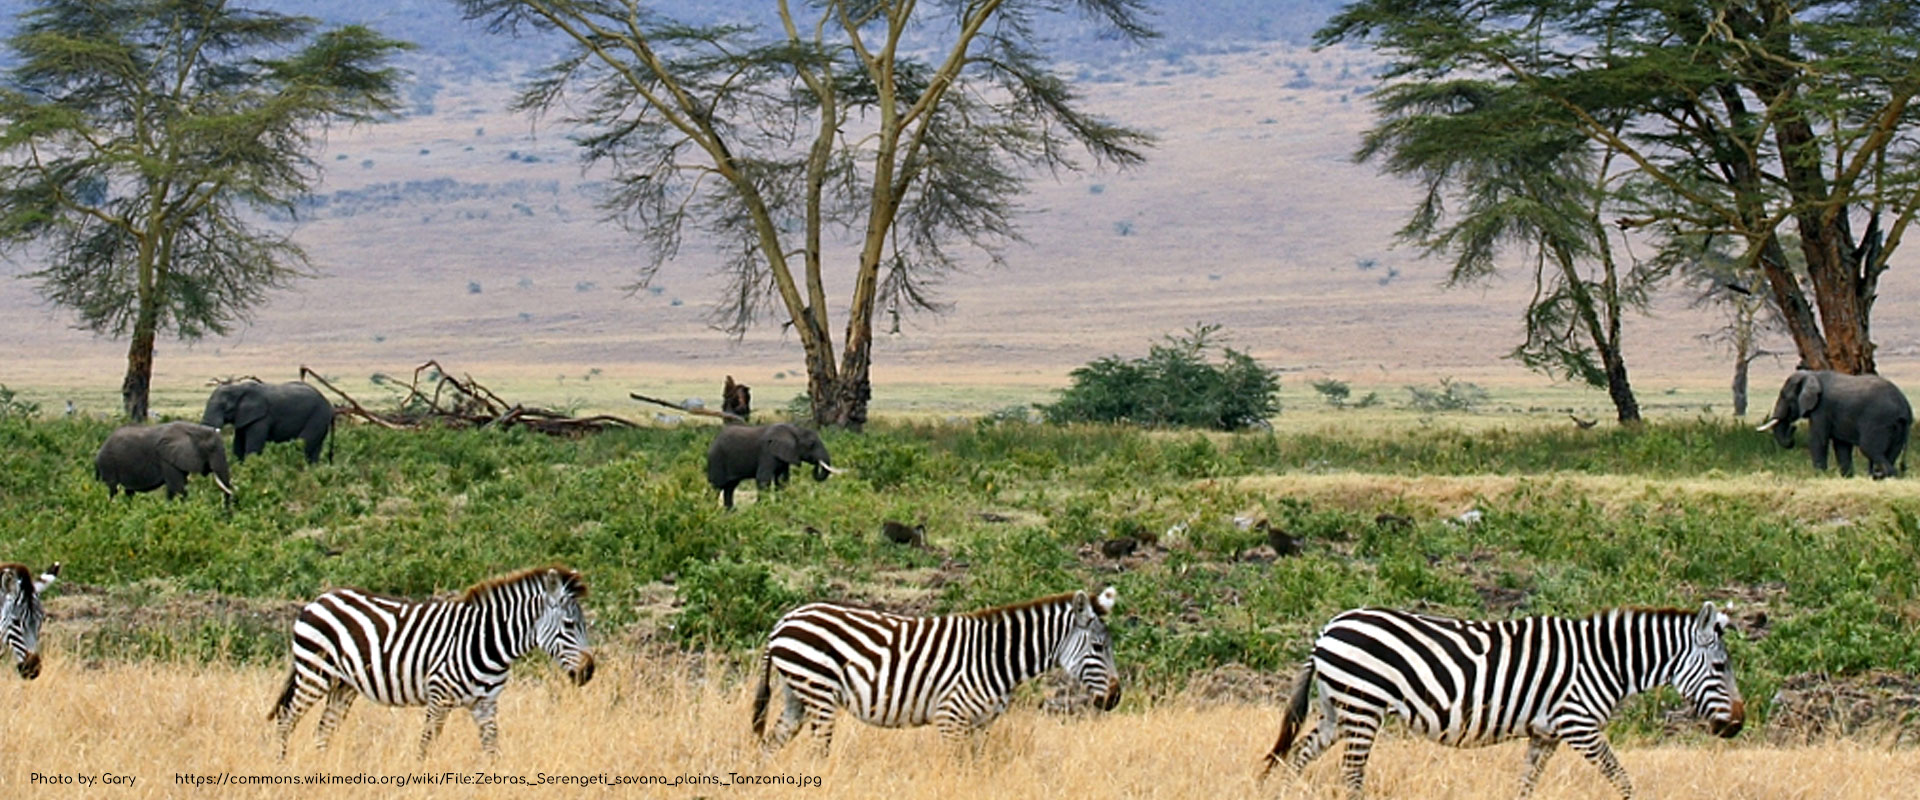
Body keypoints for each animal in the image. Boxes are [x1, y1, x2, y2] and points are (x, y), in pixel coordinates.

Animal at [269, 566, 595, 759]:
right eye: (569, 625)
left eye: (583, 625)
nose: (589, 672)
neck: (487, 640)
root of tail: (319, 599)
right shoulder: (439, 696)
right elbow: (426, 743)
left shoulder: (486, 704)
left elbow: (492, 749)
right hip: (315, 673)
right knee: (286, 720)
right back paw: (282, 765)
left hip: (343, 684)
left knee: (324, 729)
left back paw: (322, 768)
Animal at [752, 586, 1121, 753]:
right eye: (1098, 648)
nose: (1115, 698)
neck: (996, 657)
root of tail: (783, 622)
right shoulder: (951, 718)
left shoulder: (980, 725)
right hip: (818, 692)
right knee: (818, 751)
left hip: (796, 692)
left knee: (770, 743)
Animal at [1261, 602, 1743, 800]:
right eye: (1721, 667)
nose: (1737, 725)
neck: (1603, 661)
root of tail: (1328, 629)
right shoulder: (1578, 725)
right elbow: (1621, 778)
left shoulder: (1546, 733)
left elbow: (1527, 783)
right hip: (1363, 705)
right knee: (1352, 773)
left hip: (1337, 709)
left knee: (1298, 755)